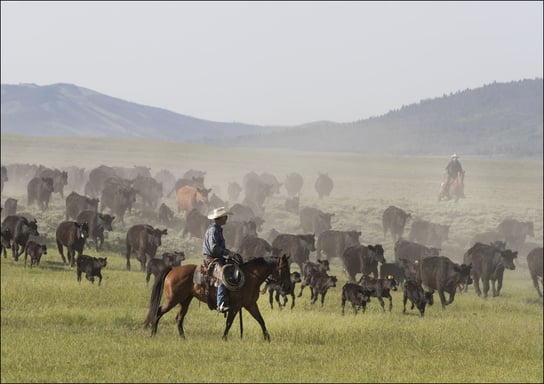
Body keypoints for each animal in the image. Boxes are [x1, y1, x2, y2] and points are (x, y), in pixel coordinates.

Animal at [143, 255, 288, 342]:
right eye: (284, 267)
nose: (285, 285)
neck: (250, 277)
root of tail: (172, 269)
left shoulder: (250, 305)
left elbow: (261, 320)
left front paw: (267, 338)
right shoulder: (235, 307)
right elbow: (229, 323)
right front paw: (224, 338)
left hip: (185, 300)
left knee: (179, 318)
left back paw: (183, 338)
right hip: (172, 299)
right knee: (159, 311)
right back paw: (153, 333)